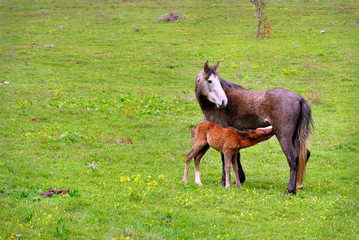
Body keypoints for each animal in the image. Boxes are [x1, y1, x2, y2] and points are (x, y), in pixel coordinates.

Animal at [195, 61, 314, 194]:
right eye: (210, 81)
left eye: (217, 81)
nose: (223, 101)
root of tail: (299, 99)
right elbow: (236, 156)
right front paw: (239, 179)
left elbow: (224, 158)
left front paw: (223, 181)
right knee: (305, 154)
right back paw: (298, 185)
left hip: (284, 137)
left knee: (293, 158)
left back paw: (289, 190)